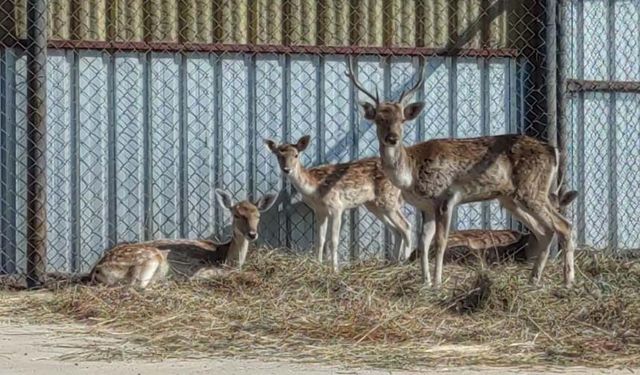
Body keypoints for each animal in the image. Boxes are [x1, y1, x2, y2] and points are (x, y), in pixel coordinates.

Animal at [89, 189, 278, 290]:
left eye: (258, 215)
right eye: (236, 215)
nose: (252, 234)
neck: (224, 257)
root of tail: (96, 270)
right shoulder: (201, 268)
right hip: (148, 258)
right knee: (135, 286)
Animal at [264, 135, 410, 270]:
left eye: (296, 155)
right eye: (278, 156)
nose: (286, 169)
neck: (315, 190)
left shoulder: (337, 207)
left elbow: (333, 241)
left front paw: (335, 269)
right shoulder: (320, 211)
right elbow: (320, 240)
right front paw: (318, 265)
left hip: (388, 197)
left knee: (406, 225)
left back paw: (407, 262)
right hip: (374, 204)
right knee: (397, 230)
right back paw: (392, 264)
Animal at [348, 57, 576, 290]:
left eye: (402, 119)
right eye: (378, 119)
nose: (392, 138)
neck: (410, 175)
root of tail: (554, 151)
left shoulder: (445, 197)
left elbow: (440, 242)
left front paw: (437, 282)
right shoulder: (425, 207)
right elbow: (424, 242)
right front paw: (425, 281)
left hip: (532, 189)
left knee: (565, 226)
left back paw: (568, 281)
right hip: (512, 198)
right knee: (545, 231)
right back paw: (534, 279)